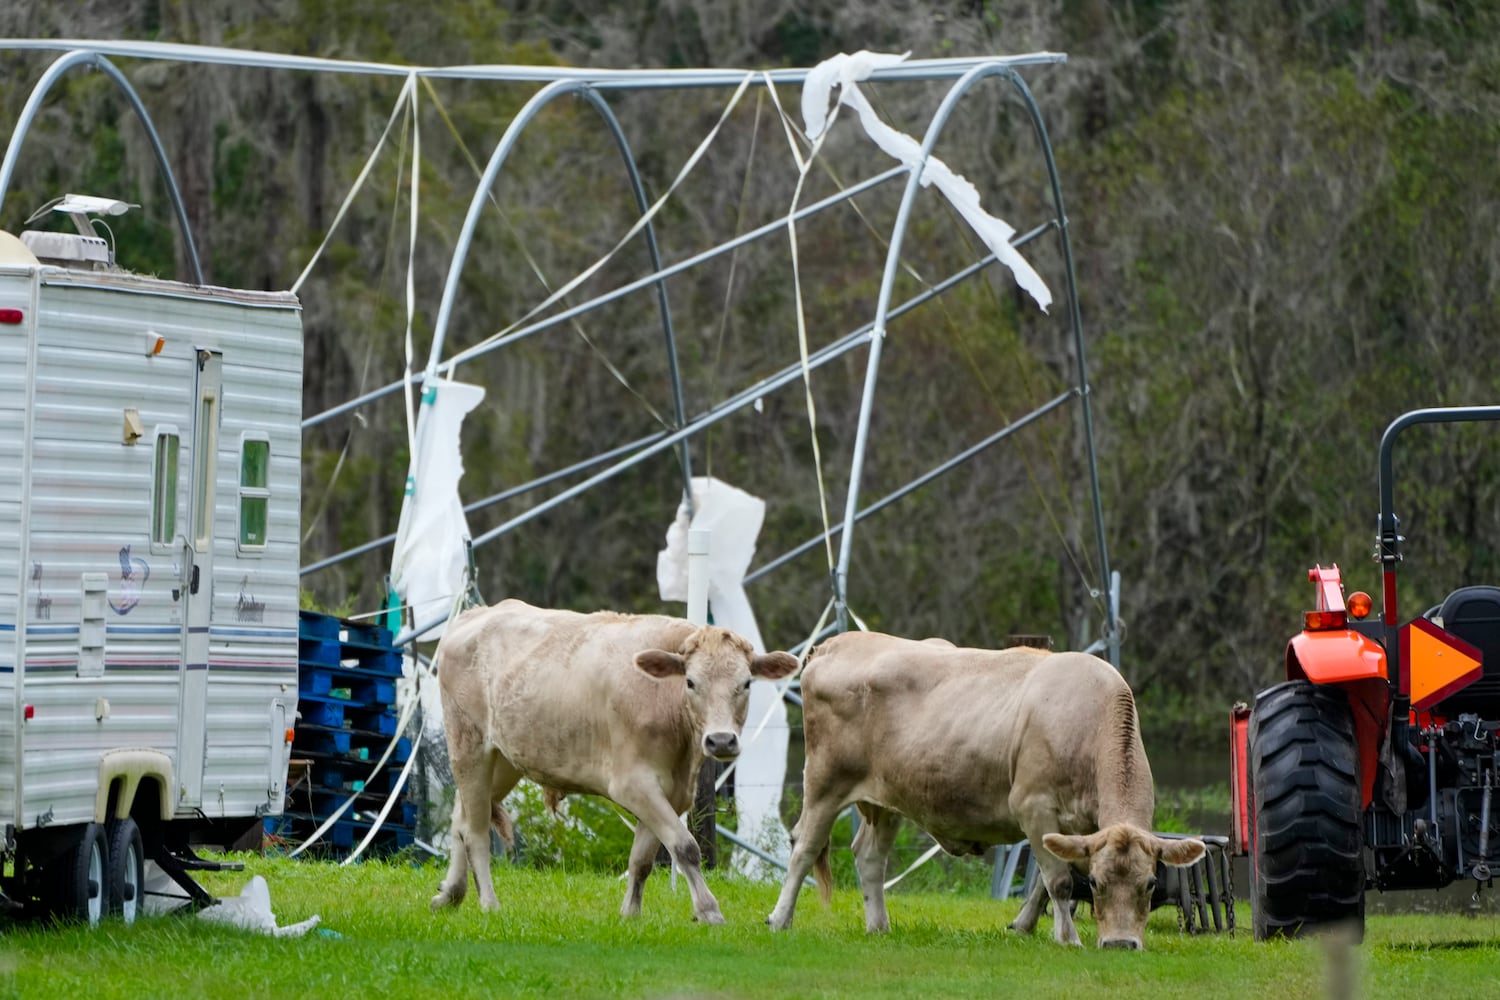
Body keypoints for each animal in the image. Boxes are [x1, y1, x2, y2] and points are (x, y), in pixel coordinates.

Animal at [429, 599, 804, 929]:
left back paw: (451, 894)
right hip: (469, 744)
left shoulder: (672, 792)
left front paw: (630, 915)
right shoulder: (632, 784)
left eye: (746, 683)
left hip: (506, 758)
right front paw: (709, 911)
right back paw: (488, 903)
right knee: (476, 831)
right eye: (691, 682)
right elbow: (685, 846)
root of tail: (476, 614)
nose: (722, 740)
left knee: (461, 817)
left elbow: (642, 860)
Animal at [774, 629, 1206, 953]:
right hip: (825, 782)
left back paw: (878, 925)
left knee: (869, 857)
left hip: (885, 800)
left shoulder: (1070, 828)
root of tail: (835, 643)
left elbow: (1045, 881)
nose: (1121, 944)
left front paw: (1025, 925)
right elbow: (1059, 881)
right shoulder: (1032, 805)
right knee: (804, 847)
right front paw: (1068, 938)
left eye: (1150, 883)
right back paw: (780, 918)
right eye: (1097, 883)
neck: (1089, 723)